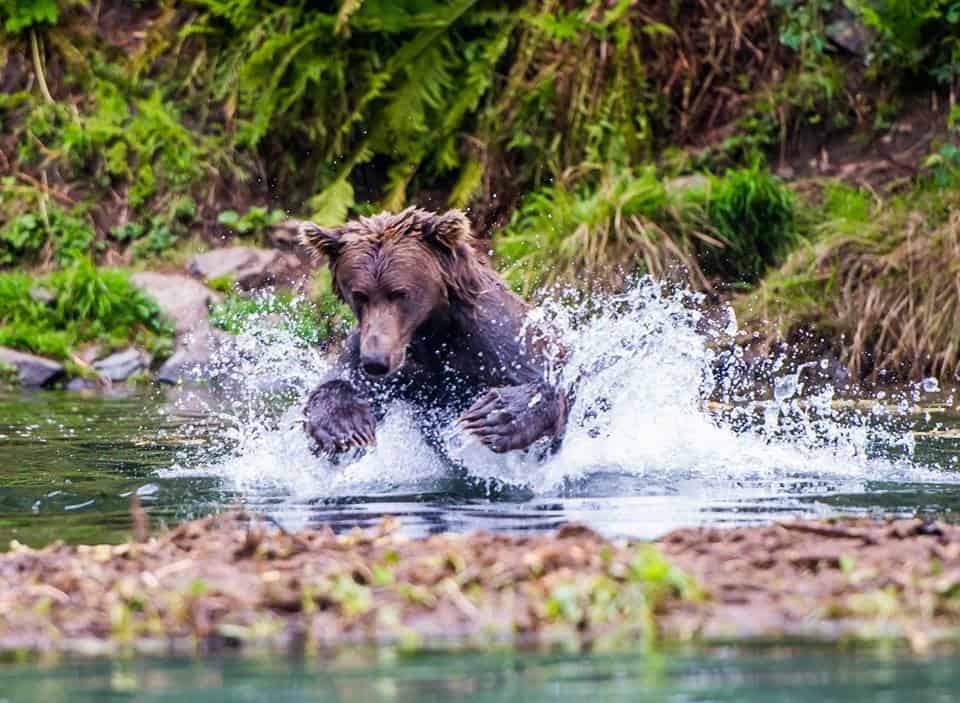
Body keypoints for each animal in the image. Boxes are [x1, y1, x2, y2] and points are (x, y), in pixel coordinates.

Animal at [295, 207, 569, 460]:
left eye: (399, 293)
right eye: (360, 295)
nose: (376, 361)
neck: (430, 332)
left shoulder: (497, 339)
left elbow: (543, 378)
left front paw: (495, 415)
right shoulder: (372, 352)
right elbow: (338, 382)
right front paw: (345, 426)